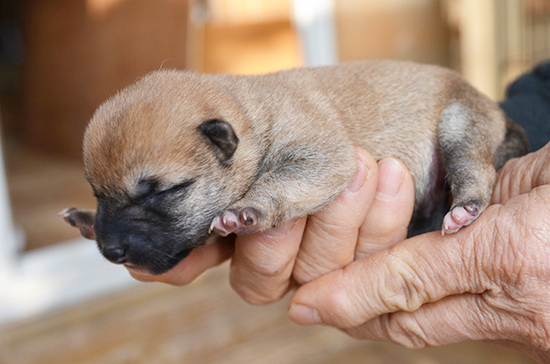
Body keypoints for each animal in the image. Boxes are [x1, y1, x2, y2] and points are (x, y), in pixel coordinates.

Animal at [59, 61, 532, 274]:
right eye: (98, 194)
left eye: (164, 191)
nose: (111, 251)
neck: (251, 116)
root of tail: (496, 111)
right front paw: (84, 218)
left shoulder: (320, 155)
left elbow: (280, 181)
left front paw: (247, 210)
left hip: (460, 124)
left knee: (475, 171)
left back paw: (465, 209)